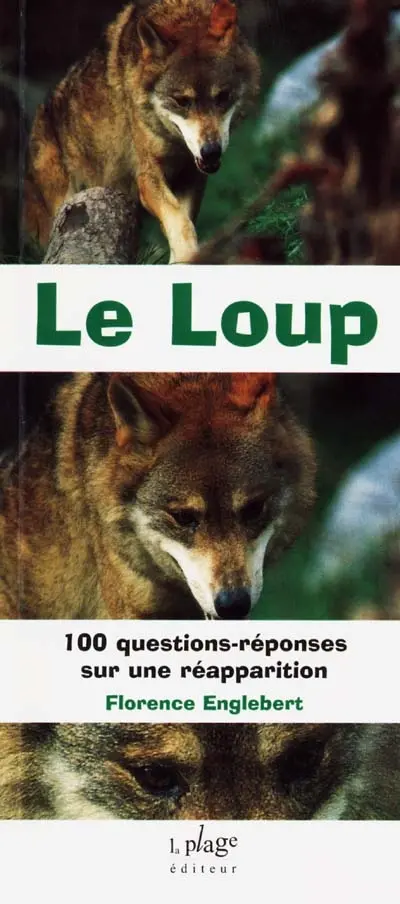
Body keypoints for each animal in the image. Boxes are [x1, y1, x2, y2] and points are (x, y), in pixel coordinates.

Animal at [23, 0, 260, 262]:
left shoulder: (192, 175)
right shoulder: (147, 176)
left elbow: (184, 220)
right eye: (182, 101)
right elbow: (180, 222)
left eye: (222, 97)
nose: (210, 151)